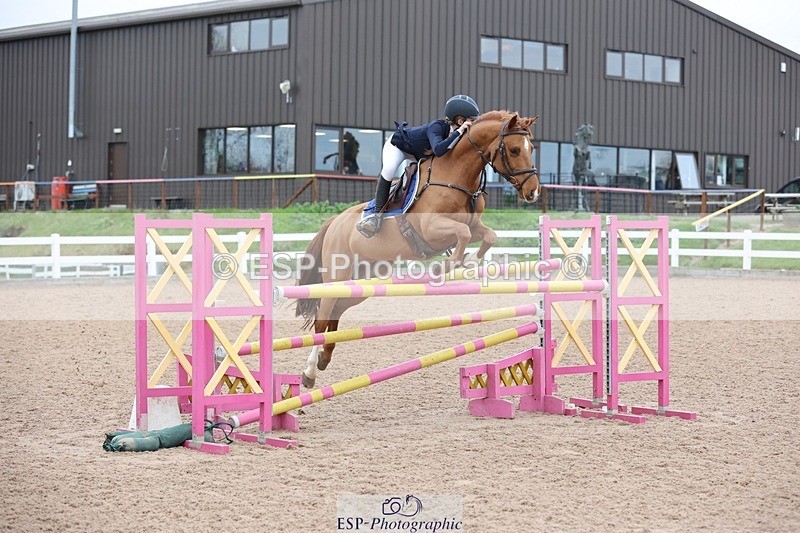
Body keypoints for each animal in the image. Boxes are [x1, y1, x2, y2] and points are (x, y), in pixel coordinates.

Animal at [295, 110, 541, 388]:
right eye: (513, 149)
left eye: (531, 148)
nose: (533, 192)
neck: (456, 175)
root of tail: (335, 221)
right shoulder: (431, 228)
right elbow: (463, 234)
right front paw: (447, 267)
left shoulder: (474, 224)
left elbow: (488, 235)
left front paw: (470, 263)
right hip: (338, 276)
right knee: (322, 319)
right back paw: (309, 373)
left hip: (362, 281)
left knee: (335, 312)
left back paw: (324, 359)